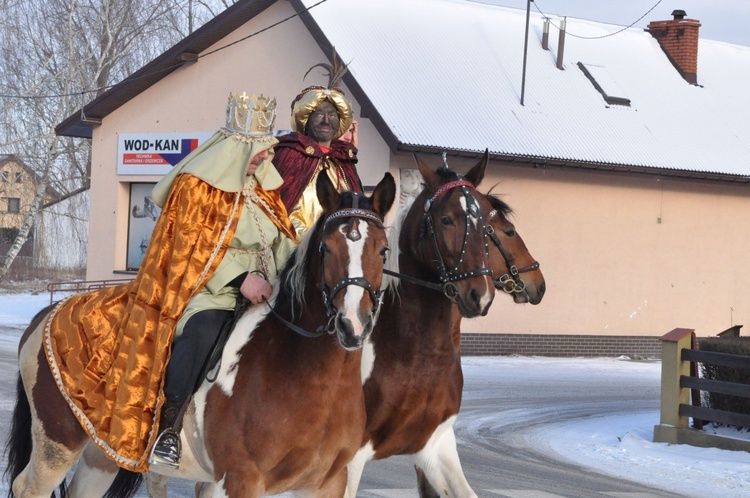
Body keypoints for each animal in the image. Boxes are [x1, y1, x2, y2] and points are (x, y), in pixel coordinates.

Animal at [5, 172, 400, 498]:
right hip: (57, 441)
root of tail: (46, 315)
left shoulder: (329, 483)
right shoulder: (240, 479)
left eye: (383, 250)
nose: (352, 325)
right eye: (326, 248)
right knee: (29, 487)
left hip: (102, 452)